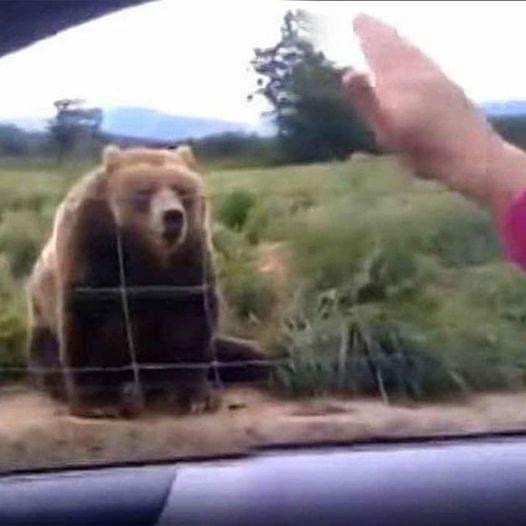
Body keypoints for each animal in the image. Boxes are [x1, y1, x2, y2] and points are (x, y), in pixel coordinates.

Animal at [26, 145, 270, 420]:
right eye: (144, 191)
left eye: (180, 189)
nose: (172, 216)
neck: (147, 252)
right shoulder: (91, 246)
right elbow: (89, 322)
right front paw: (101, 402)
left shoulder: (188, 258)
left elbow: (190, 320)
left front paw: (196, 396)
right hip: (42, 325)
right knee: (49, 361)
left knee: (241, 352)